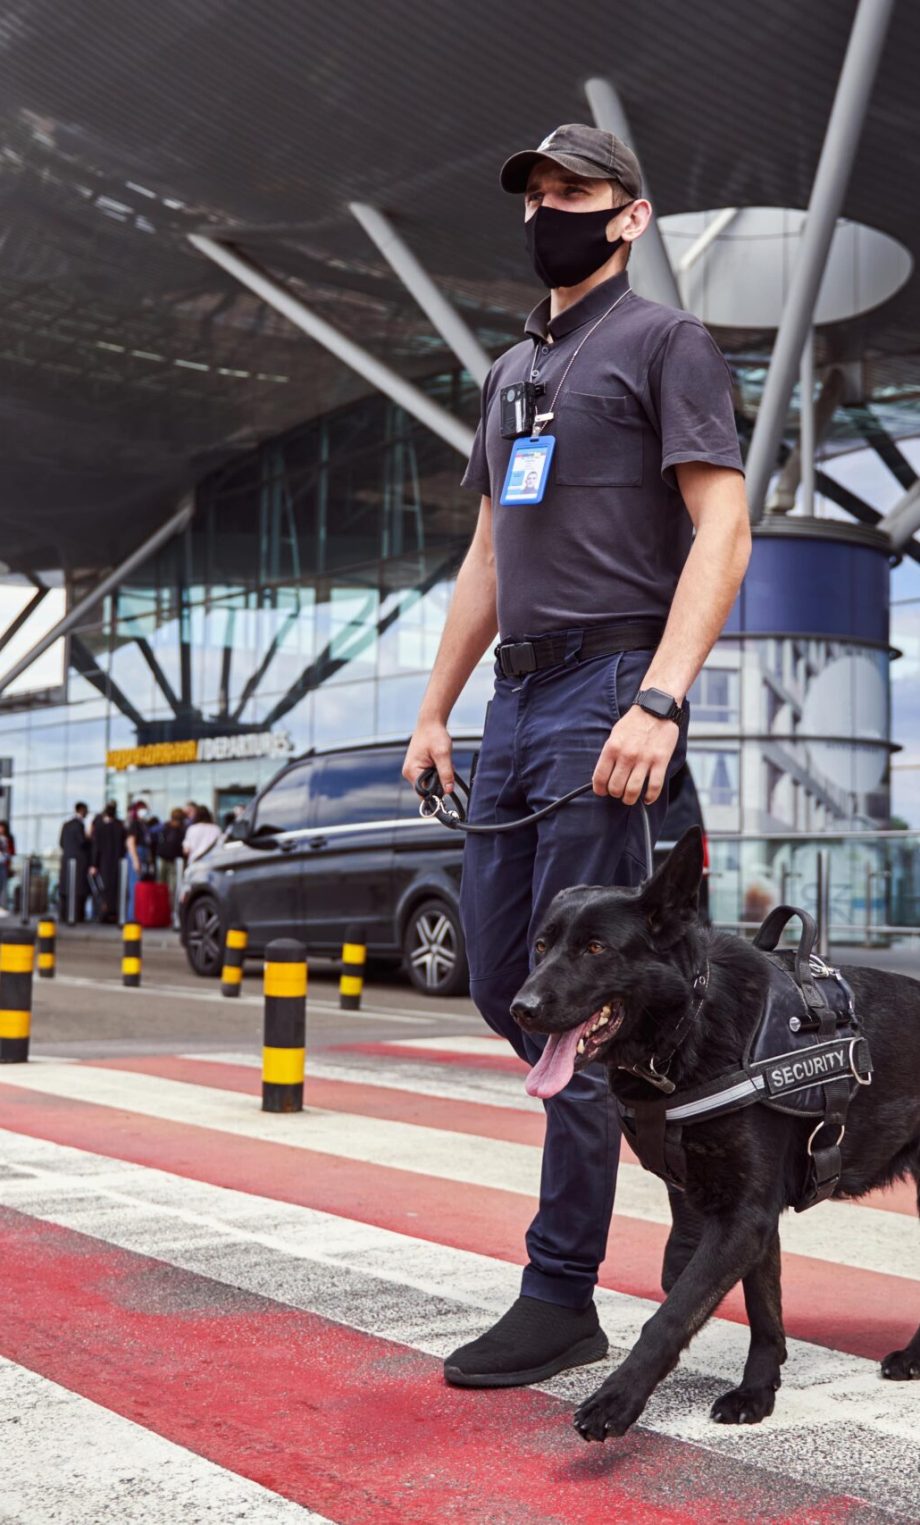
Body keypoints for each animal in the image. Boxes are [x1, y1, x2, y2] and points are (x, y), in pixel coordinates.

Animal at [512, 835, 920, 1439]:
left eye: (595, 948)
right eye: (541, 947)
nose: (522, 1009)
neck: (690, 1027)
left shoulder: (742, 1217)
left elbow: (673, 1313)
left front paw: (617, 1400)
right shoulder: (748, 1217)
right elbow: (763, 1312)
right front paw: (758, 1391)